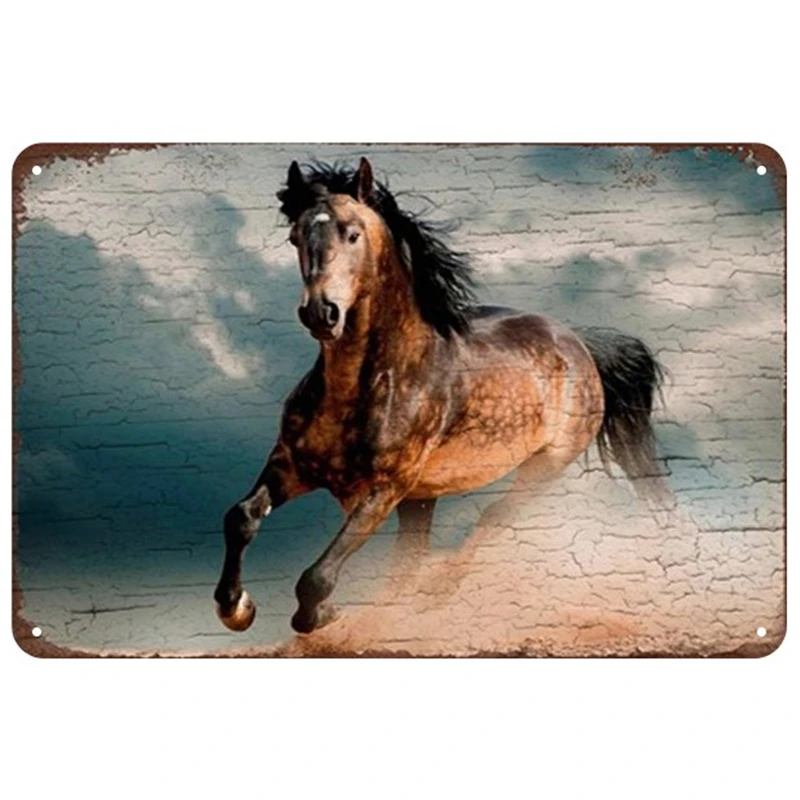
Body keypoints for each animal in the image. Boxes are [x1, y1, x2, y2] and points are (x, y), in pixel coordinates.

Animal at [213, 157, 667, 635]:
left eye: (352, 233)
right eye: (295, 236)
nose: (321, 312)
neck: (364, 386)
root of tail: (579, 343)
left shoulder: (384, 489)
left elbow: (316, 577)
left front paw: (322, 615)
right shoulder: (291, 466)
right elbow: (241, 517)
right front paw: (236, 608)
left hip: (543, 467)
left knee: (489, 520)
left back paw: (436, 591)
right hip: (423, 498)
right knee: (411, 559)